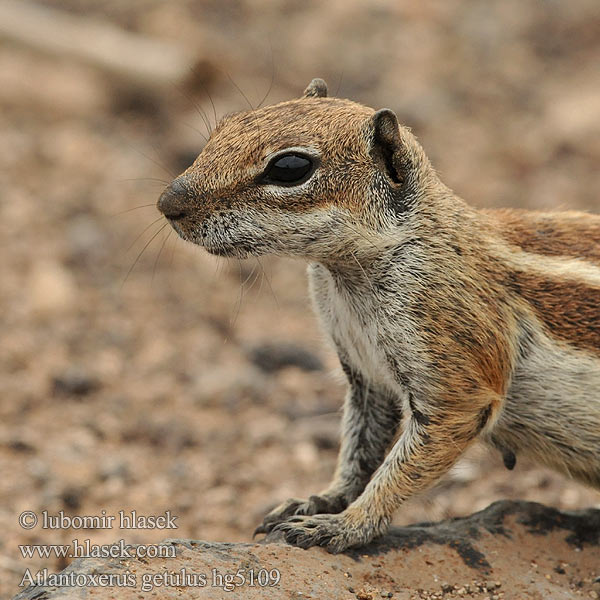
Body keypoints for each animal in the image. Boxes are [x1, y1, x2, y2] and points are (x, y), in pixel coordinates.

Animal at [158, 78, 600, 552]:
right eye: (226, 125)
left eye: (290, 167)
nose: (168, 202)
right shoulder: (365, 375)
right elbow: (359, 449)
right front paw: (318, 501)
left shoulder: (458, 381)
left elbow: (401, 469)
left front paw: (344, 525)